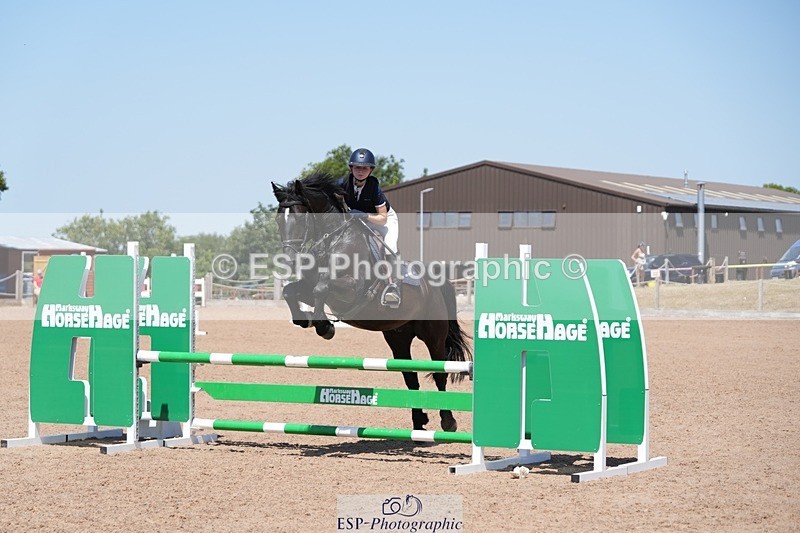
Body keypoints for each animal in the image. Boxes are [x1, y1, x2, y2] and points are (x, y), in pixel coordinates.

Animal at [271, 172, 472, 432]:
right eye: (278, 220)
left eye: (298, 217)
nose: (287, 259)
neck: (333, 240)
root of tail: (436, 283)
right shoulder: (310, 288)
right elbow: (291, 291)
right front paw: (305, 320)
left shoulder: (350, 291)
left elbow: (322, 287)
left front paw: (325, 327)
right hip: (398, 337)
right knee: (410, 377)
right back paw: (418, 423)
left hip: (433, 335)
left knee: (439, 373)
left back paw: (448, 421)